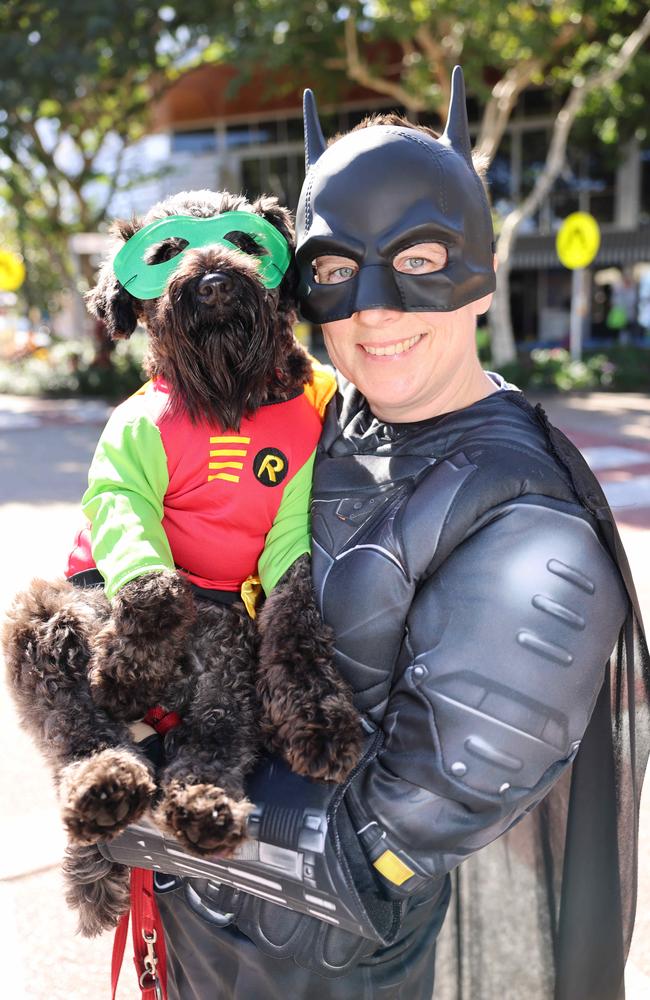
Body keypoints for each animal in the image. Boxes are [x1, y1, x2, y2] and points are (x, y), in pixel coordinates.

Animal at [1, 189, 360, 936]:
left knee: (213, 745)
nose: (215, 280)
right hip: (45, 620)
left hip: (226, 665)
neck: (228, 404)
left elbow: (298, 626)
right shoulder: (122, 484)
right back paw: (104, 784)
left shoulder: (292, 527)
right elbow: (157, 585)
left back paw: (203, 808)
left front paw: (321, 723)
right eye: (164, 253)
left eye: (247, 241)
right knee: (79, 729)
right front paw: (124, 672)